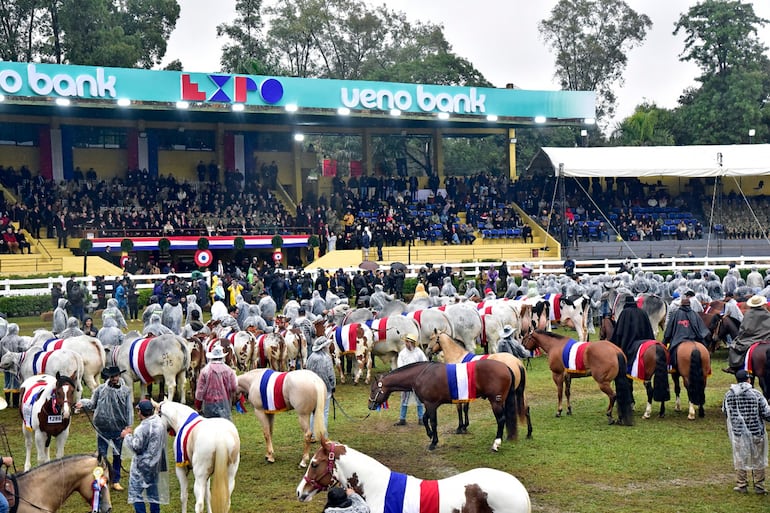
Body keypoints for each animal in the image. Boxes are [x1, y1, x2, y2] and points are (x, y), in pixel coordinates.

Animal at [366, 358, 516, 450]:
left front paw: (433, 442)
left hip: (495, 402)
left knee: (501, 420)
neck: (420, 374)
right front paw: (430, 435)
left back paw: (496, 443)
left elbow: (432, 422)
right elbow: (425, 419)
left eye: (373, 390)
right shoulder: (430, 404)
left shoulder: (431, 404)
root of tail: (506, 366)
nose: (370, 406)